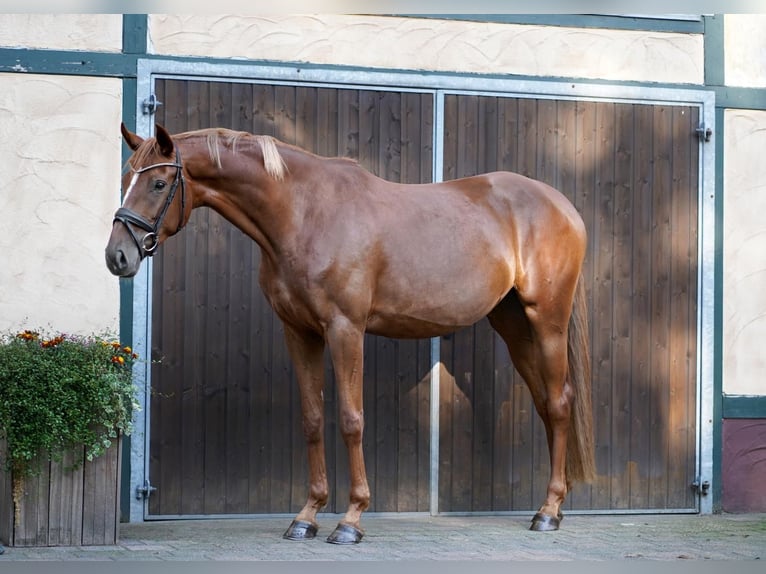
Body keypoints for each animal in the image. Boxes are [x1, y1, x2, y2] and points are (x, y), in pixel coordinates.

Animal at [105, 124, 596, 548]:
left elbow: (350, 419)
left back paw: (548, 512)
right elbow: (312, 420)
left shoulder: (346, 329)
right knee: (545, 403)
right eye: (126, 178)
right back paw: (553, 506)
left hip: (547, 321)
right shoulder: (299, 332)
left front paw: (351, 519)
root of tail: (563, 205)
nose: (117, 256)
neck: (304, 213)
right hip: (514, 326)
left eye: (159, 183)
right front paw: (307, 516)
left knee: (559, 404)